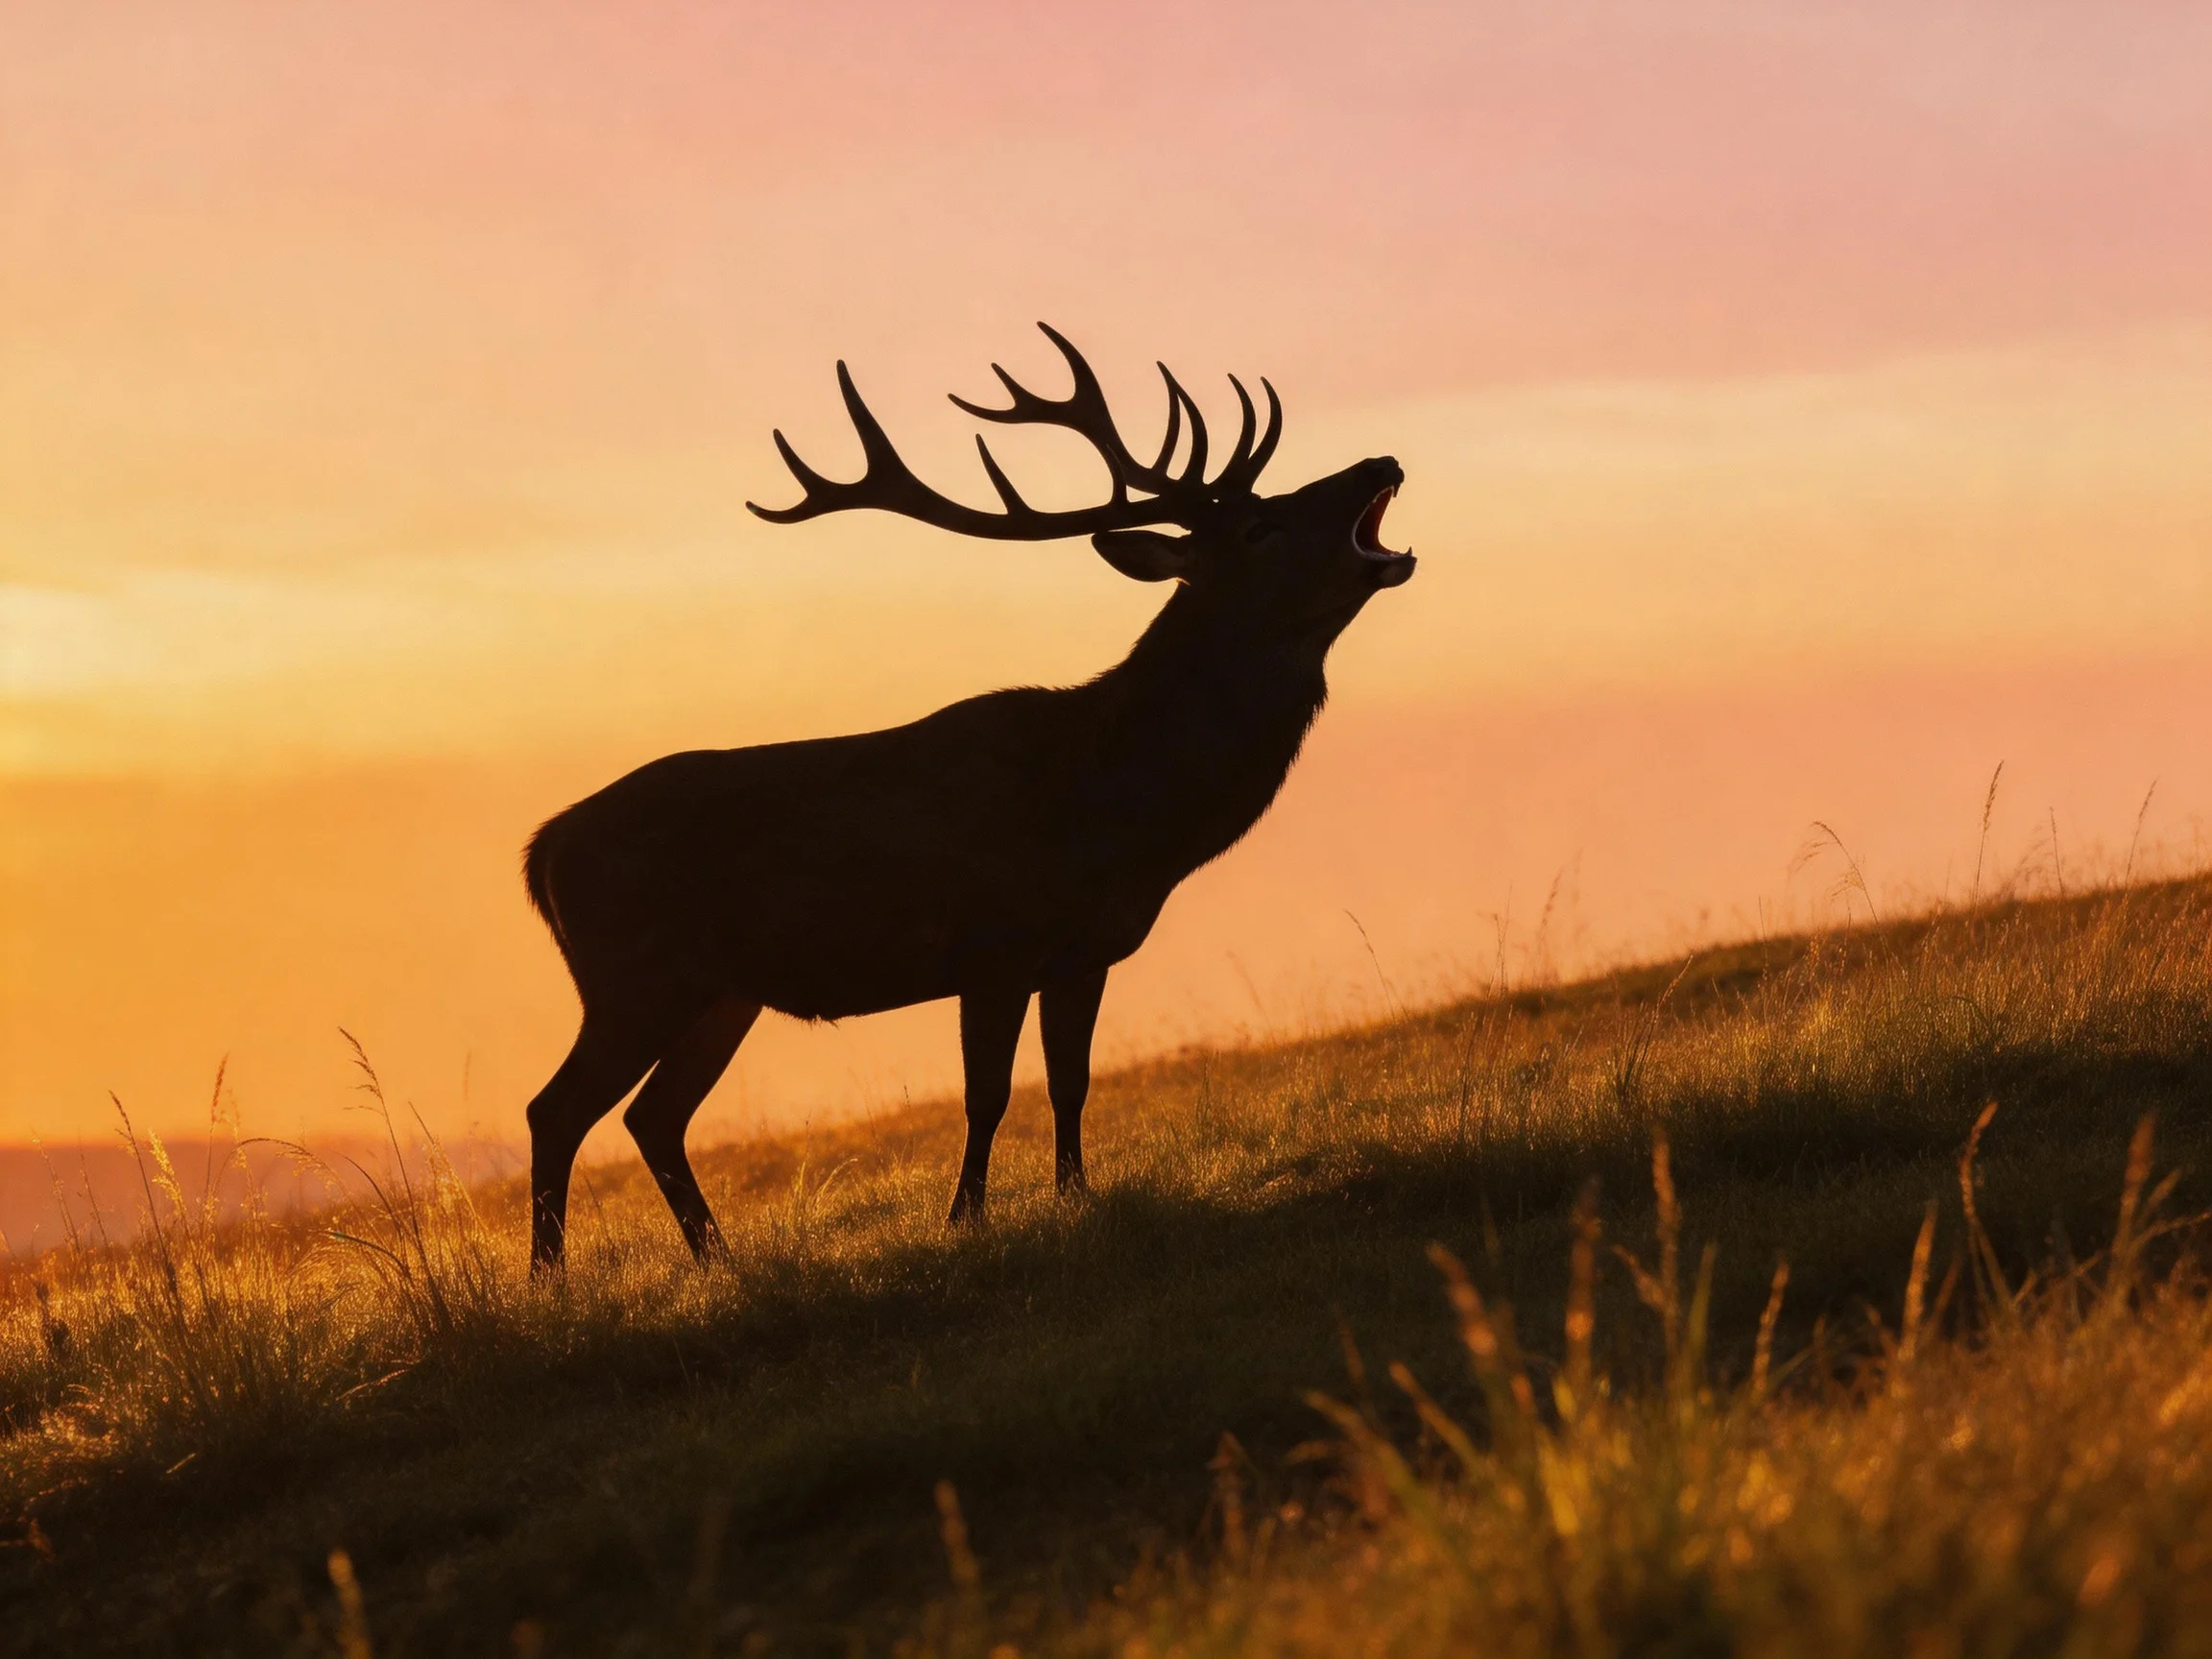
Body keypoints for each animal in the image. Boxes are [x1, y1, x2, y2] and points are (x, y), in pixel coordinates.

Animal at [520, 324, 1415, 1270]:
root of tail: (540, 853)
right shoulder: (993, 944)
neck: (1122, 813)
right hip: (632, 976)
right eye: (1259, 525)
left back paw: (717, 1259)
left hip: (721, 992)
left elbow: (1071, 1082)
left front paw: (1075, 1195)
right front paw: (966, 1217)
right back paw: (551, 1278)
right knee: (558, 1107)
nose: (1380, 461)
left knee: (652, 1116)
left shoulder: (1083, 952)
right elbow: (986, 1095)